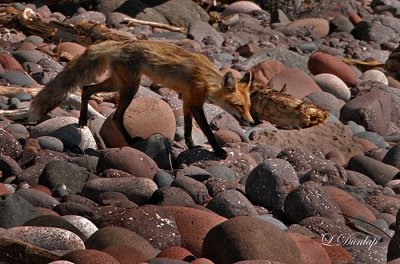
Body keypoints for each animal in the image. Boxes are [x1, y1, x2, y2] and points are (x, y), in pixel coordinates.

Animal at [27, 39, 253, 159]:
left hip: (117, 84)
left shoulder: (188, 100)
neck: (208, 79)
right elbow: (207, 131)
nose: (252, 122)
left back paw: (82, 119)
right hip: (129, 89)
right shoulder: (196, 102)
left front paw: (191, 145)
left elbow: (189, 128)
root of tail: (118, 44)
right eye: (239, 106)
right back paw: (130, 142)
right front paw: (219, 151)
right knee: (116, 116)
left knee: (86, 89)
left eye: (249, 107)